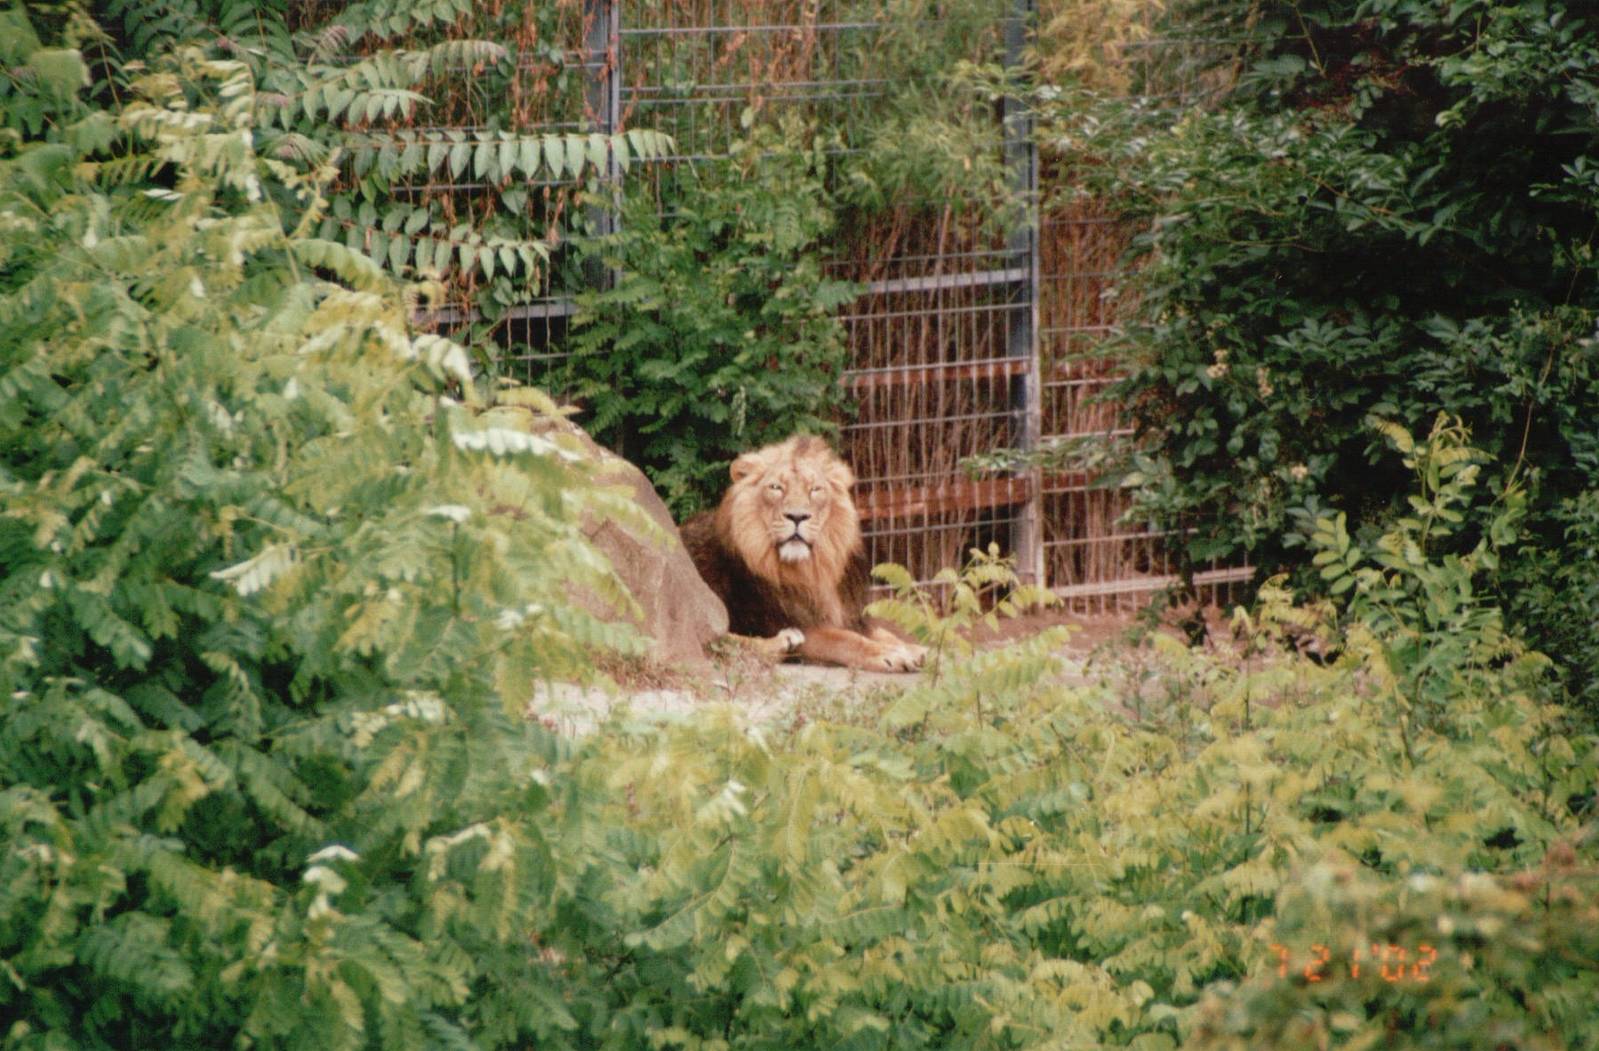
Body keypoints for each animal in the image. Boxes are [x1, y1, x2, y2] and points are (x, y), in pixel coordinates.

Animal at [679, 435, 928, 672]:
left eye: (815, 489)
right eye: (776, 488)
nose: (797, 516)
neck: (811, 570)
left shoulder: (850, 615)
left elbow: (880, 632)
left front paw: (917, 650)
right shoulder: (791, 623)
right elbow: (845, 640)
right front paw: (891, 654)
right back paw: (784, 641)